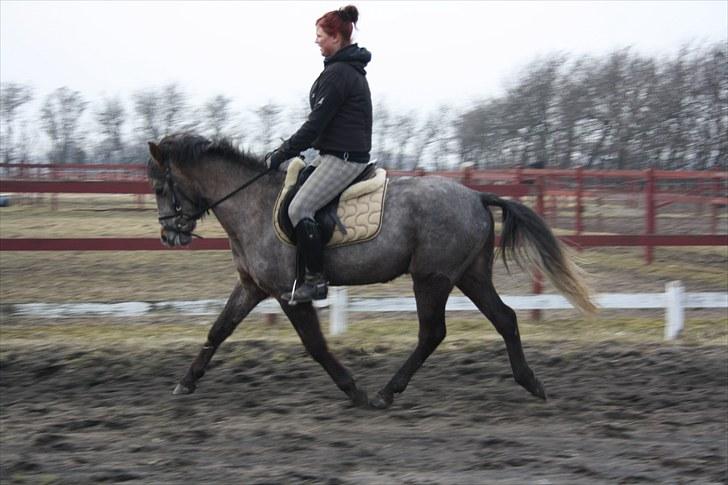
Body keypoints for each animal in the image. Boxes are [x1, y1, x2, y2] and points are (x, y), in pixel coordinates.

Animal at [147, 133, 595, 409]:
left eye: (159, 186)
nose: (170, 235)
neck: (252, 202)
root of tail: (476, 195)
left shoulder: (290, 294)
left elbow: (316, 346)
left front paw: (354, 391)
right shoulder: (252, 287)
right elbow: (218, 330)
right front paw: (186, 382)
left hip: (431, 279)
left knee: (433, 333)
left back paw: (384, 393)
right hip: (470, 275)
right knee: (505, 318)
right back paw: (530, 383)